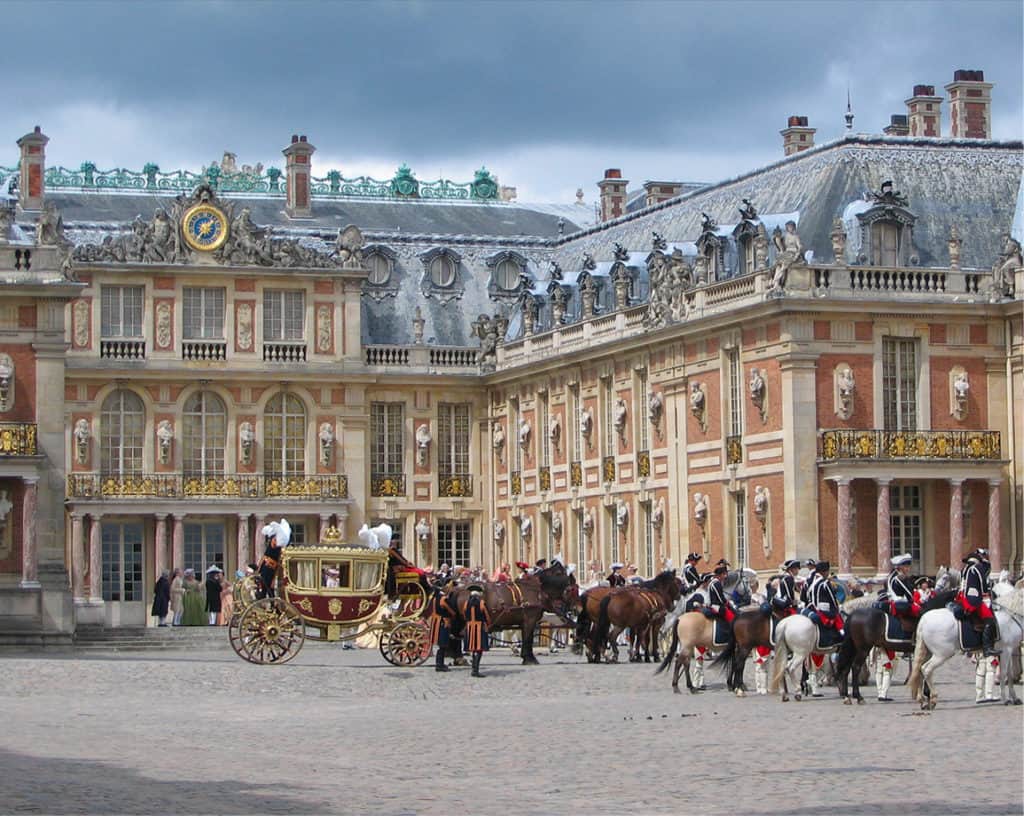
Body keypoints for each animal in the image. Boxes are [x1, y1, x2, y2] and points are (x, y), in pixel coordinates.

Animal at [448, 565, 577, 663]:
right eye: (574, 587)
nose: (575, 608)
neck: (535, 590)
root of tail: (460, 589)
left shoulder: (525, 622)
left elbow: (526, 637)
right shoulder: (530, 620)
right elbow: (528, 639)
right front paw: (529, 658)